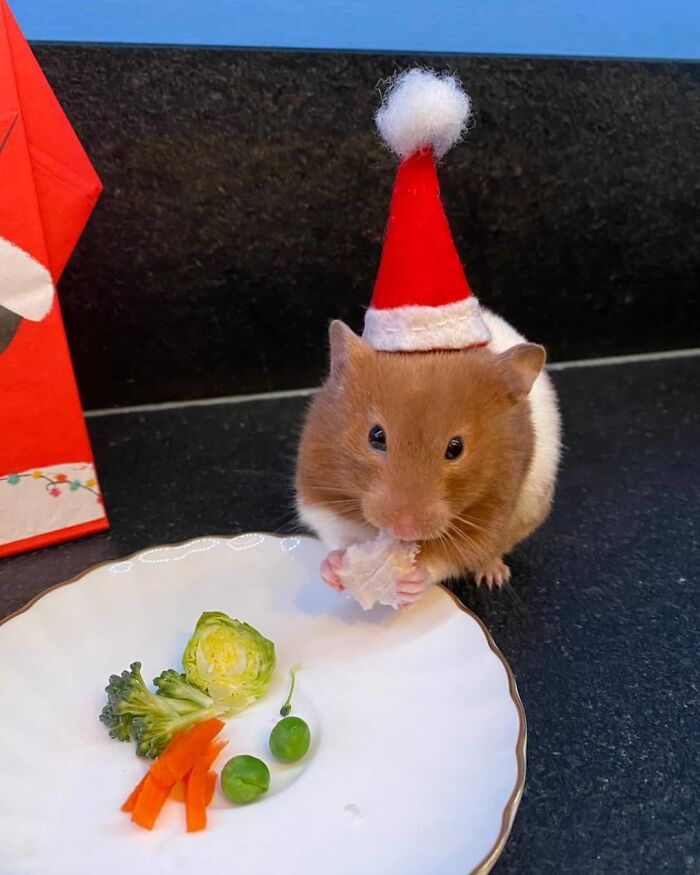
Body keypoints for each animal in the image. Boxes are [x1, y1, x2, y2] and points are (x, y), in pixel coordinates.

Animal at [296, 308, 564, 604]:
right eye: (376, 436)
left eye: (456, 448)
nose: (404, 529)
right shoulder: (318, 484)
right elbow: (335, 529)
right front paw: (333, 567)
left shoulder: (494, 506)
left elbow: (456, 554)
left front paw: (411, 580)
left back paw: (494, 576)